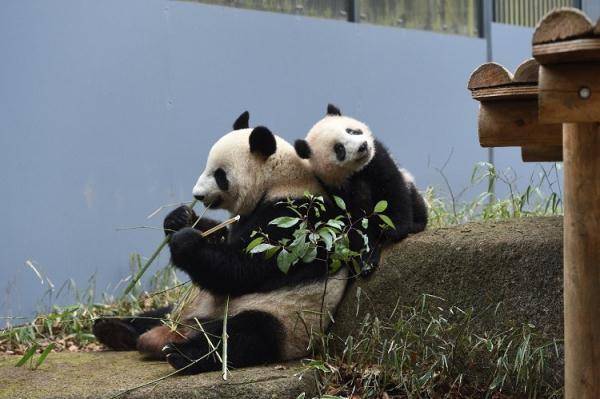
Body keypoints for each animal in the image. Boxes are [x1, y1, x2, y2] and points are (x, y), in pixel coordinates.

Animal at [92, 111, 350, 376]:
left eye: (219, 175)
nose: (197, 195)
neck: (280, 181)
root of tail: (182, 329)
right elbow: (222, 236)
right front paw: (180, 218)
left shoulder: (293, 221)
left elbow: (241, 269)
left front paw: (186, 242)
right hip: (186, 306)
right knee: (157, 314)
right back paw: (113, 329)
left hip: (286, 319)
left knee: (242, 335)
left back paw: (183, 354)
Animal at [292, 104, 424, 270]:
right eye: (339, 149)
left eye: (352, 131)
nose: (362, 146)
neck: (355, 172)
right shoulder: (330, 187)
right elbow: (354, 222)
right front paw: (366, 261)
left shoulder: (377, 157)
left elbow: (391, 188)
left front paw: (396, 229)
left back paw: (417, 225)